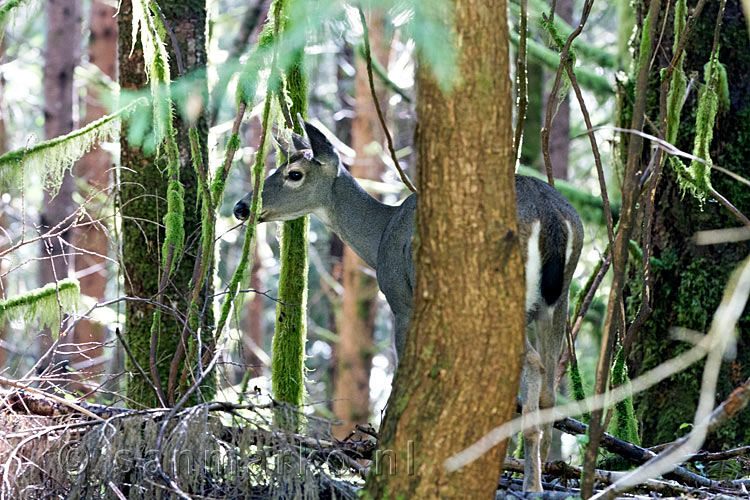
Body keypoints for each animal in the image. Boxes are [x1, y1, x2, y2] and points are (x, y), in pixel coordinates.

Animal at [232, 121, 584, 492]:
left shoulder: (401, 300)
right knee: (549, 390)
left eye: (294, 174)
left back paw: (529, 481)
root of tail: (550, 215)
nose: (241, 207)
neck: (381, 238)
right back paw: (540, 476)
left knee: (532, 363)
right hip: (558, 300)